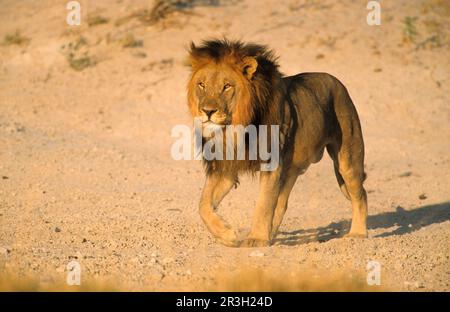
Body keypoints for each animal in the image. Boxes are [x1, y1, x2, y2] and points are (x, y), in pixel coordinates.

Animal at [187, 39, 370, 247]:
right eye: (201, 85)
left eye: (227, 86)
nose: (207, 111)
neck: (235, 128)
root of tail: (338, 83)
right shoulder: (225, 168)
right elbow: (203, 205)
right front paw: (228, 235)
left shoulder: (271, 164)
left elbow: (263, 204)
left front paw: (256, 239)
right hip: (291, 169)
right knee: (282, 203)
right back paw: (271, 235)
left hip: (348, 159)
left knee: (361, 194)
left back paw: (357, 233)